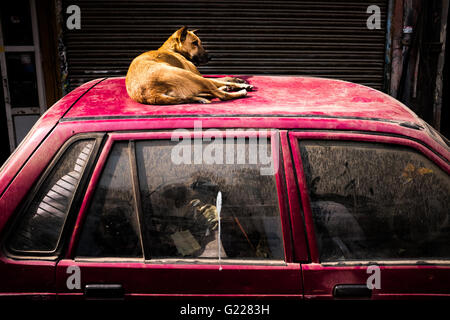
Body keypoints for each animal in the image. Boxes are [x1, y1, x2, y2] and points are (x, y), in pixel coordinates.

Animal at [125, 26, 253, 105]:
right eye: (194, 43)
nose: (210, 57)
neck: (173, 49)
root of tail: (150, 94)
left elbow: (222, 79)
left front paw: (237, 80)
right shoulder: (197, 75)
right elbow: (220, 80)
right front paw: (241, 84)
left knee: (206, 91)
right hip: (189, 75)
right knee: (220, 94)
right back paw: (239, 91)